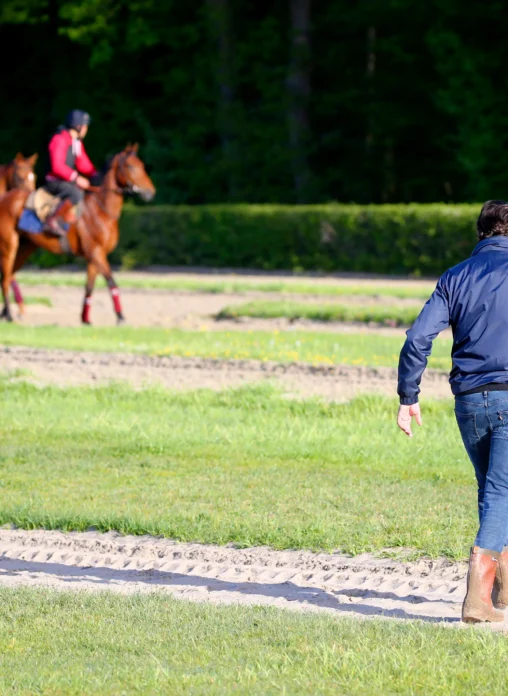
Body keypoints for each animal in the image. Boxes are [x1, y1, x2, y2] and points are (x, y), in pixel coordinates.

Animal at [0, 146, 155, 324]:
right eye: (131, 166)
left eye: (142, 166)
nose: (150, 192)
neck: (100, 209)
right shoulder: (96, 253)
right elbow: (111, 281)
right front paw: (120, 315)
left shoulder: (94, 257)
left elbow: (89, 287)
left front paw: (85, 318)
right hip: (8, 247)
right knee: (5, 278)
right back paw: (9, 314)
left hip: (24, 249)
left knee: (8, 275)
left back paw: (6, 312)